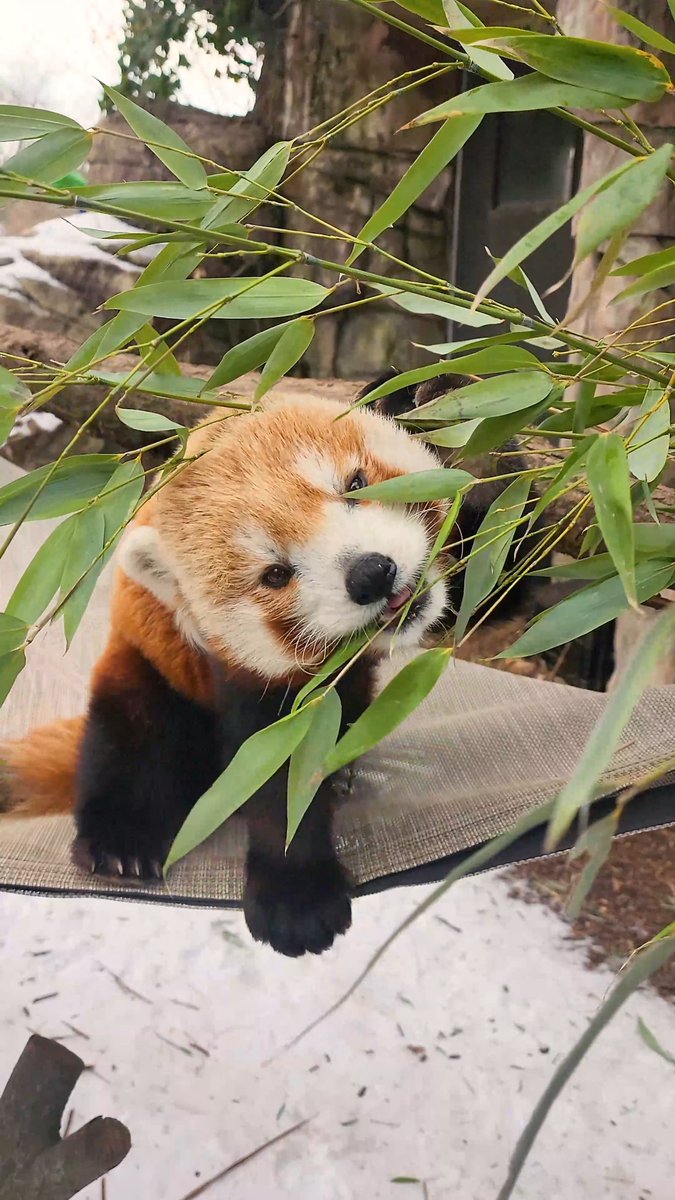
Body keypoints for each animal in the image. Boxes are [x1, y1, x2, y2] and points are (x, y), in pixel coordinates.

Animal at [0, 373, 538, 957]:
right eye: (276, 574)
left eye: (355, 484)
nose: (371, 574)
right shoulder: (247, 682)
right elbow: (275, 776)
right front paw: (296, 899)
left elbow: (500, 580)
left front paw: (478, 428)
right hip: (149, 668)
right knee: (132, 737)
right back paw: (120, 841)